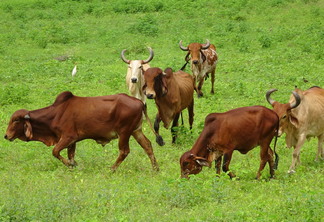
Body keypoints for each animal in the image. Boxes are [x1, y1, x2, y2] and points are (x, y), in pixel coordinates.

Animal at [3, 91, 159, 171]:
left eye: (16, 120)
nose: (6, 135)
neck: (55, 113)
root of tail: (139, 102)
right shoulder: (73, 141)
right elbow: (70, 154)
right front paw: (73, 166)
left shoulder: (67, 137)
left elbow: (55, 151)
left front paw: (71, 165)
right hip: (136, 131)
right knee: (148, 146)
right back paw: (155, 168)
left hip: (124, 133)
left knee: (124, 151)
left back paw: (112, 169)